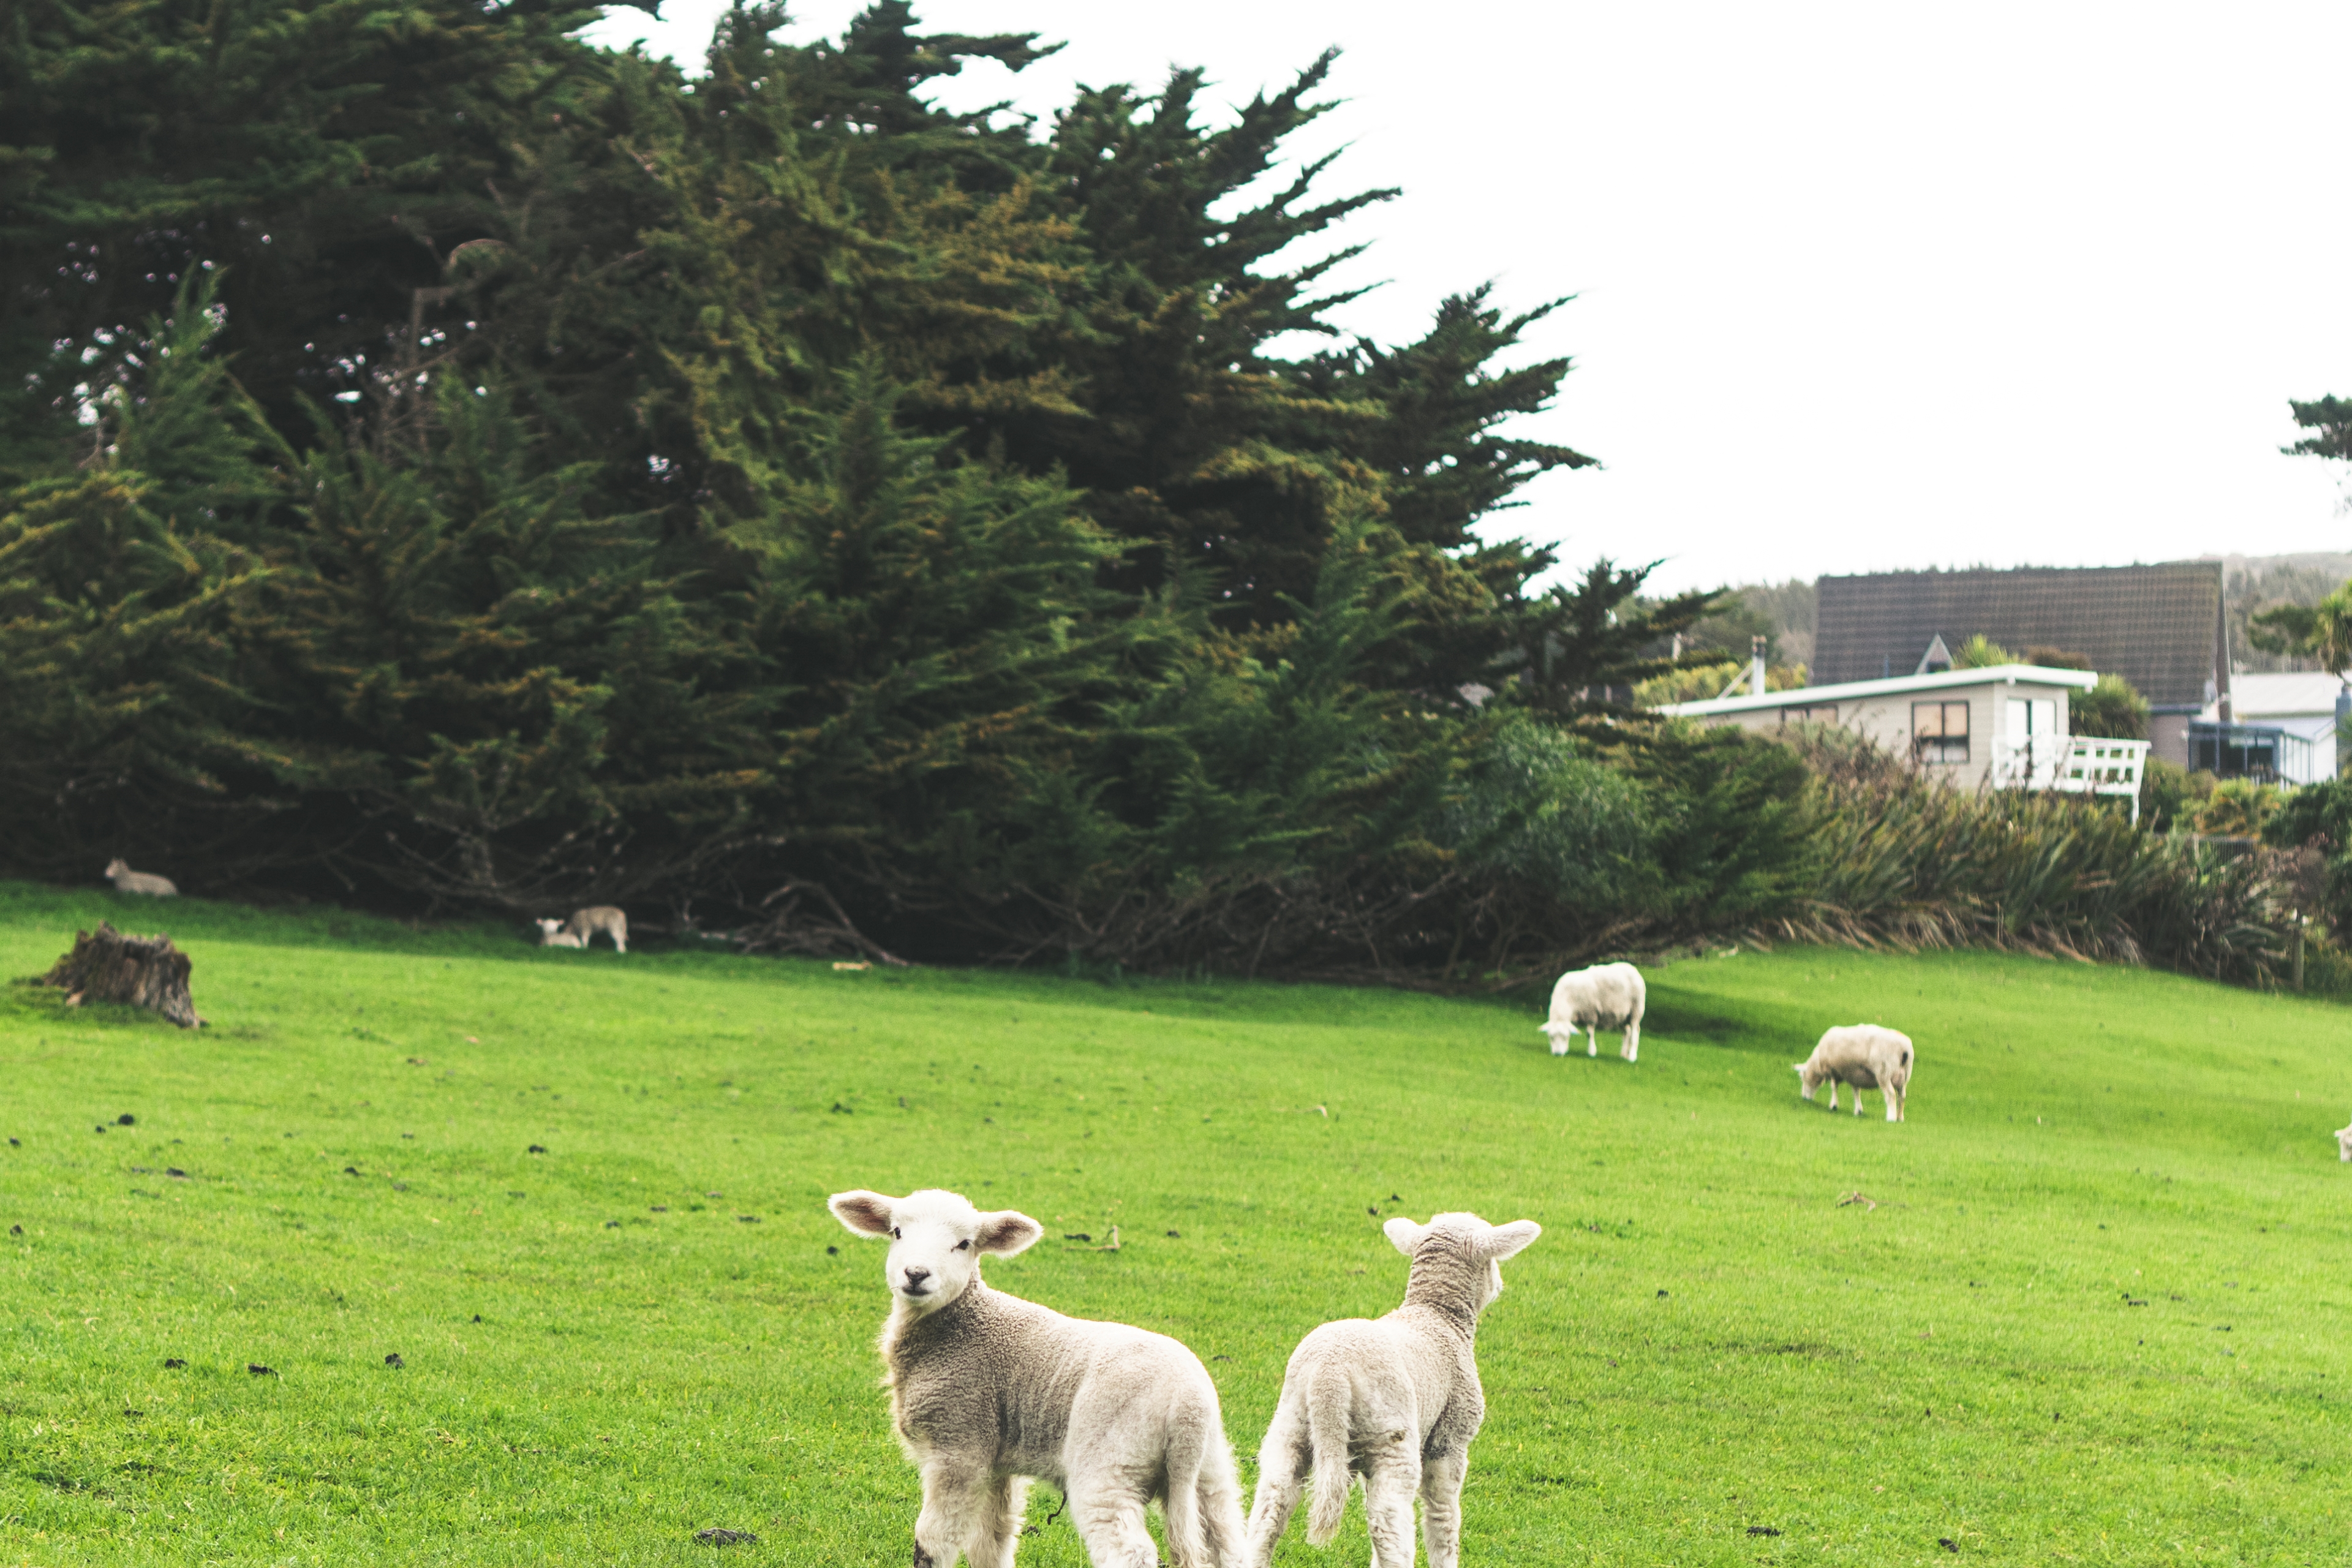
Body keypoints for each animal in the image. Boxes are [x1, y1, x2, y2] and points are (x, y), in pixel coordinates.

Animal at [837, 1189, 1261, 1568]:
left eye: (964, 1244)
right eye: (896, 1232)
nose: (916, 1274)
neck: (958, 1331)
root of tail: (1188, 1407)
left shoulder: (959, 1444)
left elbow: (933, 1542)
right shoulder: (995, 1459)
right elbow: (991, 1543)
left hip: (1112, 1456)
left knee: (1130, 1552)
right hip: (1210, 1469)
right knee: (1227, 1542)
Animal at [1242, 1213, 1552, 1568]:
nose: (1499, 1286)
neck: (1437, 1316)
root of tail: (1329, 1376)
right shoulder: (1450, 1438)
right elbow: (1443, 1516)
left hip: (1291, 1427)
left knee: (1269, 1511)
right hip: (1392, 1436)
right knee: (1388, 1524)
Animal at [1533, 959, 1646, 1067]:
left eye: (1565, 1037)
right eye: (1551, 1037)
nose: (1558, 1054)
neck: (1566, 1000)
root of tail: (1633, 969)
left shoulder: (1590, 1013)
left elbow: (1589, 1033)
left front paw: (1592, 1052)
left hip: (1636, 1010)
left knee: (1635, 1031)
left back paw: (1632, 1057)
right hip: (1623, 1015)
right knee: (1627, 1032)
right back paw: (1623, 1054)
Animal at [1796, 1025, 1910, 1123]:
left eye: (1802, 1077)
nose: (1804, 1098)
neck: (1818, 1064)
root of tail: (1904, 1048)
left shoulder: (1833, 1070)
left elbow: (1834, 1087)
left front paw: (1834, 1106)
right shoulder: (1855, 1075)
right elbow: (1856, 1092)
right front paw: (1858, 1111)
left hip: (1884, 1072)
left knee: (1891, 1095)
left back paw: (1891, 1118)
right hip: (1905, 1076)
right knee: (1902, 1096)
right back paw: (1900, 1118)